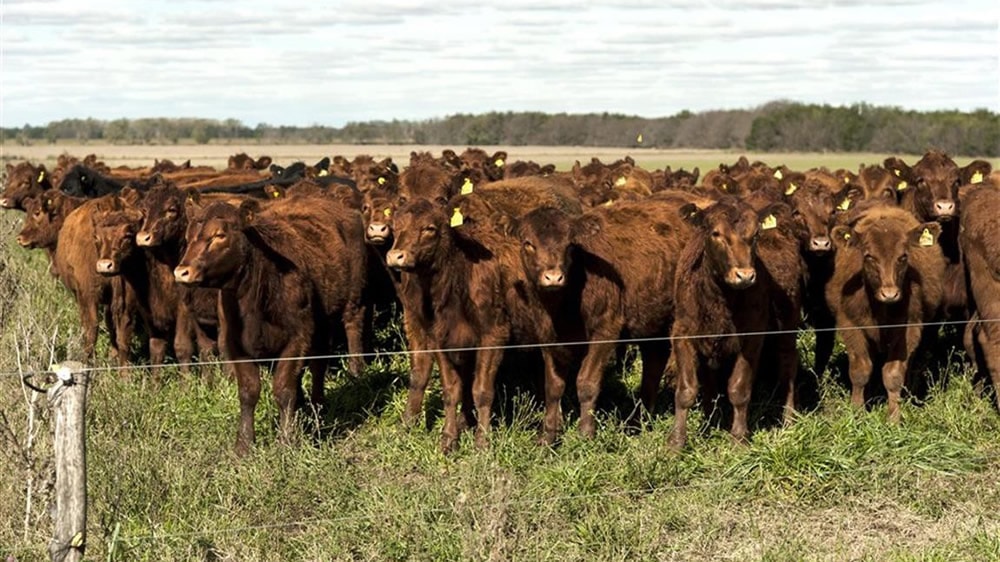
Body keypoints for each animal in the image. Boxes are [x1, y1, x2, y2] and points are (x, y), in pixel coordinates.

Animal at [173, 192, 368, 456]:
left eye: (219, 235)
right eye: (188, 237)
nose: (182, 272)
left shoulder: (297, 338)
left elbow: (283, 389)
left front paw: (286, 441)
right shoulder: (235, 343)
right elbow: (248, 391)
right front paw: (244, 445)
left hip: (352, 302)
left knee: (341, 339)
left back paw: (328, 398)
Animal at [828, 203, 944, 418]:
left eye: (903, 257)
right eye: (869, 256)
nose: (889, 294)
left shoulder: (909, 328)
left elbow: (893, 374)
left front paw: (894, 416)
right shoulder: (849, 324)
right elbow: (860, 370)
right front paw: (857, 412)